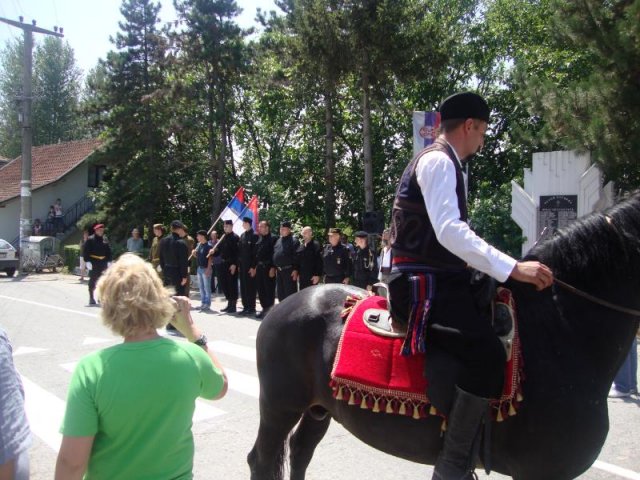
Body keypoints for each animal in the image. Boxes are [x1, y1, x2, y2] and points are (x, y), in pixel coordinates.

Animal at [246, 193, 640, 478]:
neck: (557, 329)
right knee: (262, 460)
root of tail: (283, 305)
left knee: (300, 452)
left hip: (318, 408)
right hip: (280, 406)